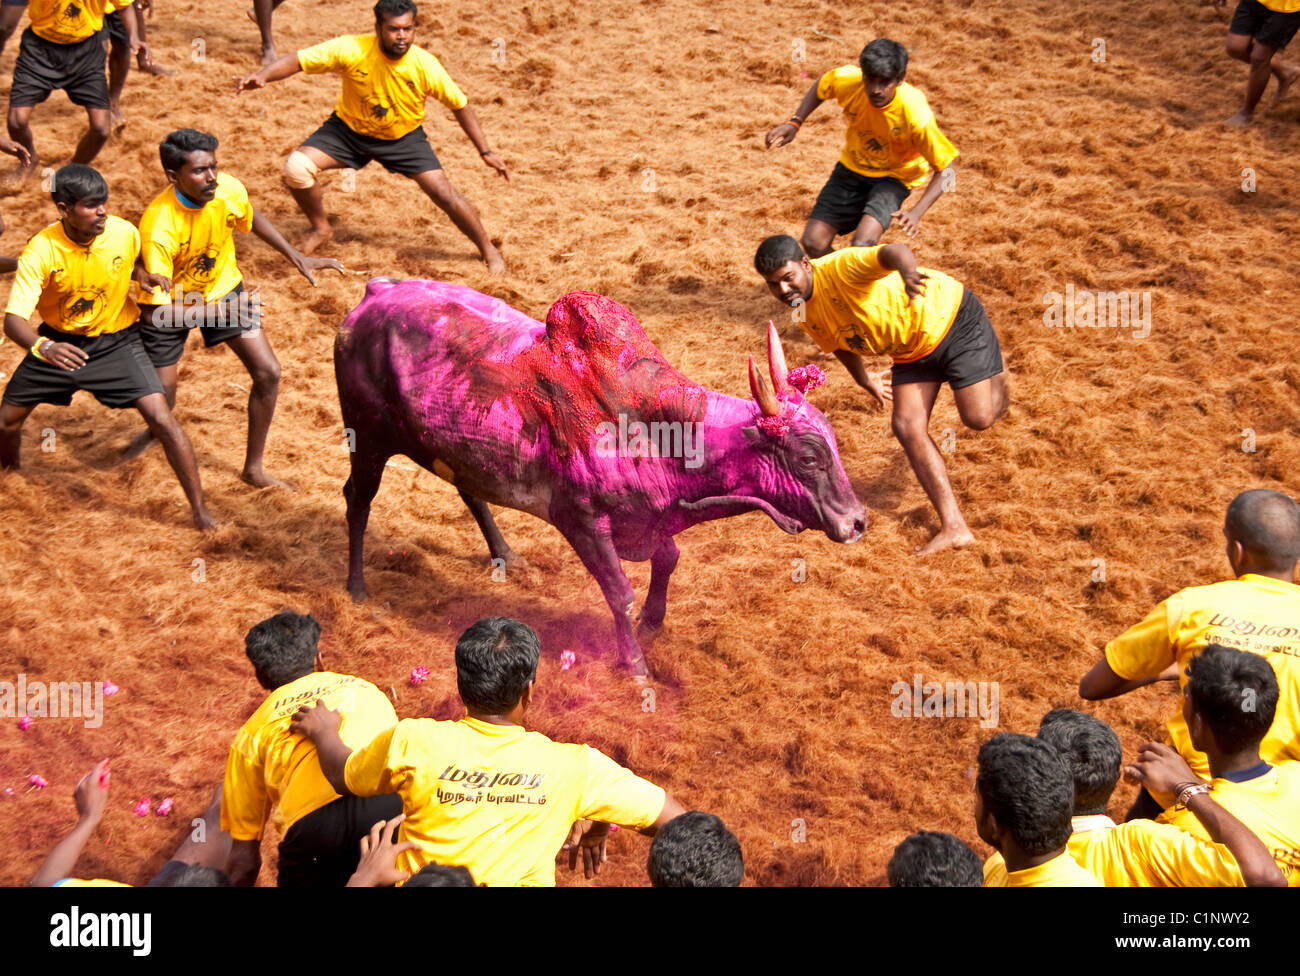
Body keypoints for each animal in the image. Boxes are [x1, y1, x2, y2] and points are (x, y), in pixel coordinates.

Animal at [336, 279, 866, 676]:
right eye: (809, 457)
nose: (858, 521)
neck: (650, 425)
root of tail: (373, 295)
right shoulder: (581, 521)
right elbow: (619, 592)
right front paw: (634, 663)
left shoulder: (656, 514)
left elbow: (668, 559)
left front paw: (654, 621)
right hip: (367, 437)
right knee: (357, 498)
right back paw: (357, 587)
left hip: (455, 445)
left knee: (471, 492)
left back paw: (506, 554)